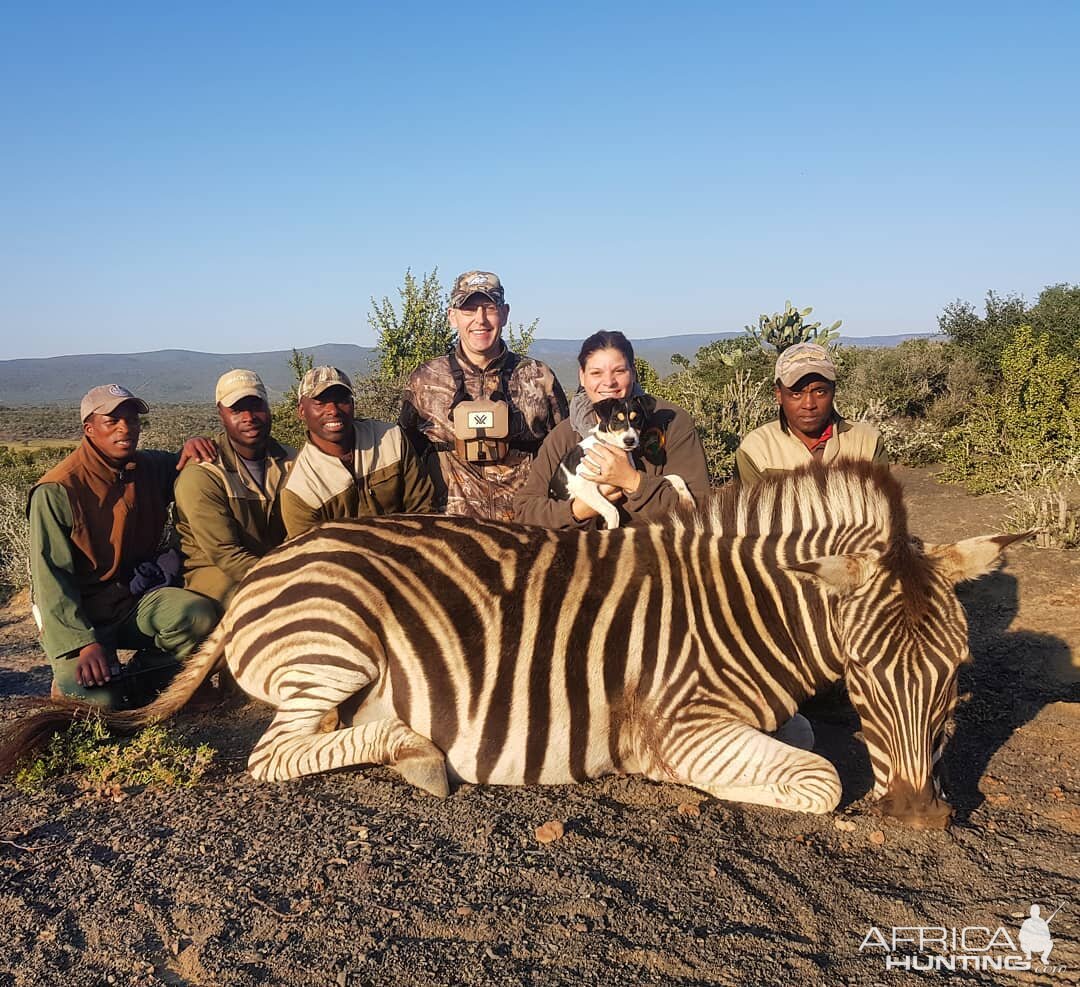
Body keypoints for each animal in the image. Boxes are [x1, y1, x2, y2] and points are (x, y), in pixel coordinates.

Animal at [0, 460, 1023, 825]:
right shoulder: (683, 727)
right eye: (863, 675)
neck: (739, 611)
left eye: (956, 676)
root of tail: (269, 568)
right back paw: (415, 753)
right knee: (272, 754)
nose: (920, 818)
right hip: (337, 640)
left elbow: (807, 739)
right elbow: (817, 778)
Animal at [548, 395, 691, 526]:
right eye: (616, 419)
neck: (610, 444)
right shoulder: (582, 485)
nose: (629, 441)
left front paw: (688, 501)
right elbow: (612, 511)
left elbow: (675, 477)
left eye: (636, 419)